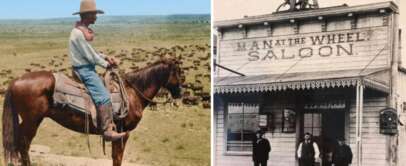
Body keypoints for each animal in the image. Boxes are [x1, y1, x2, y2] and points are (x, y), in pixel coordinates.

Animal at [1, 59, 182, 165]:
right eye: (178, 72)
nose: (179, 93)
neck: (133, 92)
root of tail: (16, 81)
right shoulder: (122, 133)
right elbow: (117, 158)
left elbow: (115, 157)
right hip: (32, 121)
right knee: (23, 144)